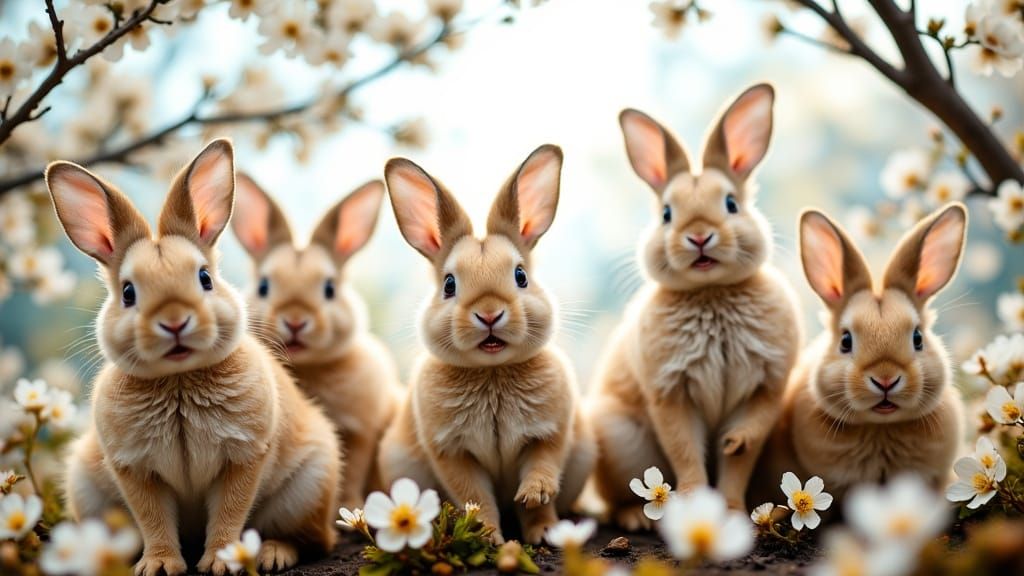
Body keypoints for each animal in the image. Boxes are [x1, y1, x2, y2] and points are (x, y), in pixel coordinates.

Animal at [50, 140, 341, 576]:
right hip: (88, 491)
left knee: (309, 540)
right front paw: (159, 565)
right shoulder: (134, 469)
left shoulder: (243, 459)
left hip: (307, 489)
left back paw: (272, 554)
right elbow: (153, 519)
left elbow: (229, 513)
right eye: (128, 293)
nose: (174, 321)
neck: (180, 378)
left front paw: (222, 562)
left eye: (205, 278)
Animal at [230, 173, 401, 509]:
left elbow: (351, 472)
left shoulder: (359, 433)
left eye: (330, 289)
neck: (305, 367)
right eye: (264, 286)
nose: (295, 320)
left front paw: (350, 507)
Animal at [376, 145, 596, 545]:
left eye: (521, 275)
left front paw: (541, 523)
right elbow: (475, 496)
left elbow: (542, 476)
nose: (490, 314)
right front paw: (489, 538)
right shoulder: (452, 453)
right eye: (449, 284)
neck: (492, 371)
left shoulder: (549, 435)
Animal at [590, 83, 802, 530]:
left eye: (731, 204)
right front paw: (692, 509)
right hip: (618, 442)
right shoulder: (671, 395)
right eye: (667, 214)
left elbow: (739, 456)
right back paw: (637, 518)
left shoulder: (765, 388)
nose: (699, 236)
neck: (711, 292)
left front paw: (734, 510)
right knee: (613, 500)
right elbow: (685, 450)